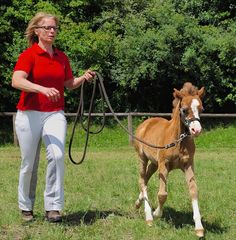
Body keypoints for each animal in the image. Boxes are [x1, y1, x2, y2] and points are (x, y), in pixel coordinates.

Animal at [135, 83, 205, 237]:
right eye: (184, 110)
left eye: (201, 109)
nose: (196, 130)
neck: (178, 141)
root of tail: (145, 123)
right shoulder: (164, 165)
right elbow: (162, 194)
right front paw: (156, 213)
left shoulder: (188, 165)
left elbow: (194, 190)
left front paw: (199, 227)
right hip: (143, 159)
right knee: (142, 180)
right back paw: (149, 216)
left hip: (154, 163)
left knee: (146, 179)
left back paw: (138, 203)